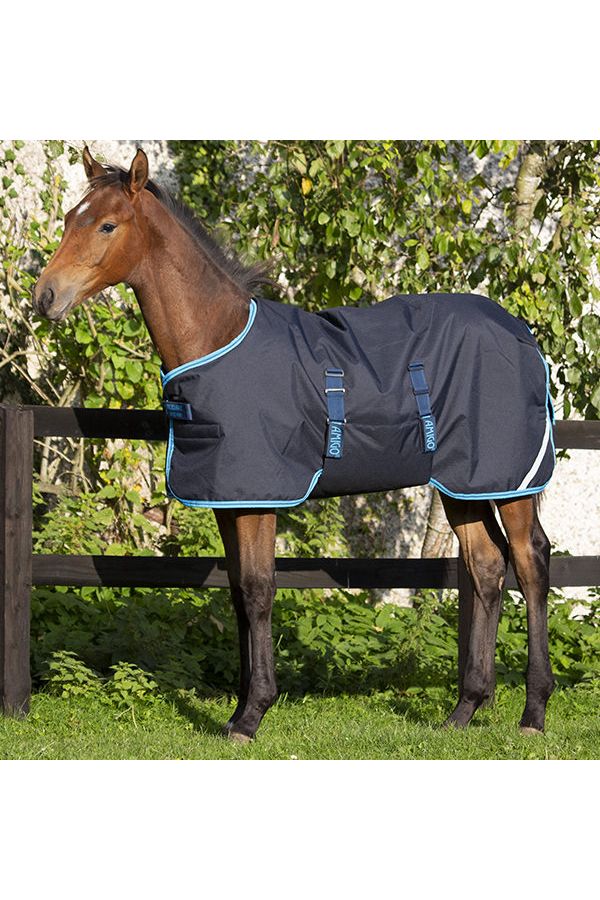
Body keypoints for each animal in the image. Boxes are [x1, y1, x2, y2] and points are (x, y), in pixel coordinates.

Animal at [32, 145, 555, 742]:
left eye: (107, 225)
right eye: (69, 218)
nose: (45, 297)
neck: (218, 338)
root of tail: (522, 332)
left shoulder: (261, 499)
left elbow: (260, 590)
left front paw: (253, 714)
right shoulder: (230, 501)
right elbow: (238, 594)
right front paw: (238, 709)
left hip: (510, 481)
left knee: (530, 563)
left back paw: (533, 712)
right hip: (462, 485)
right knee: (487, 568)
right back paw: (464, 710)